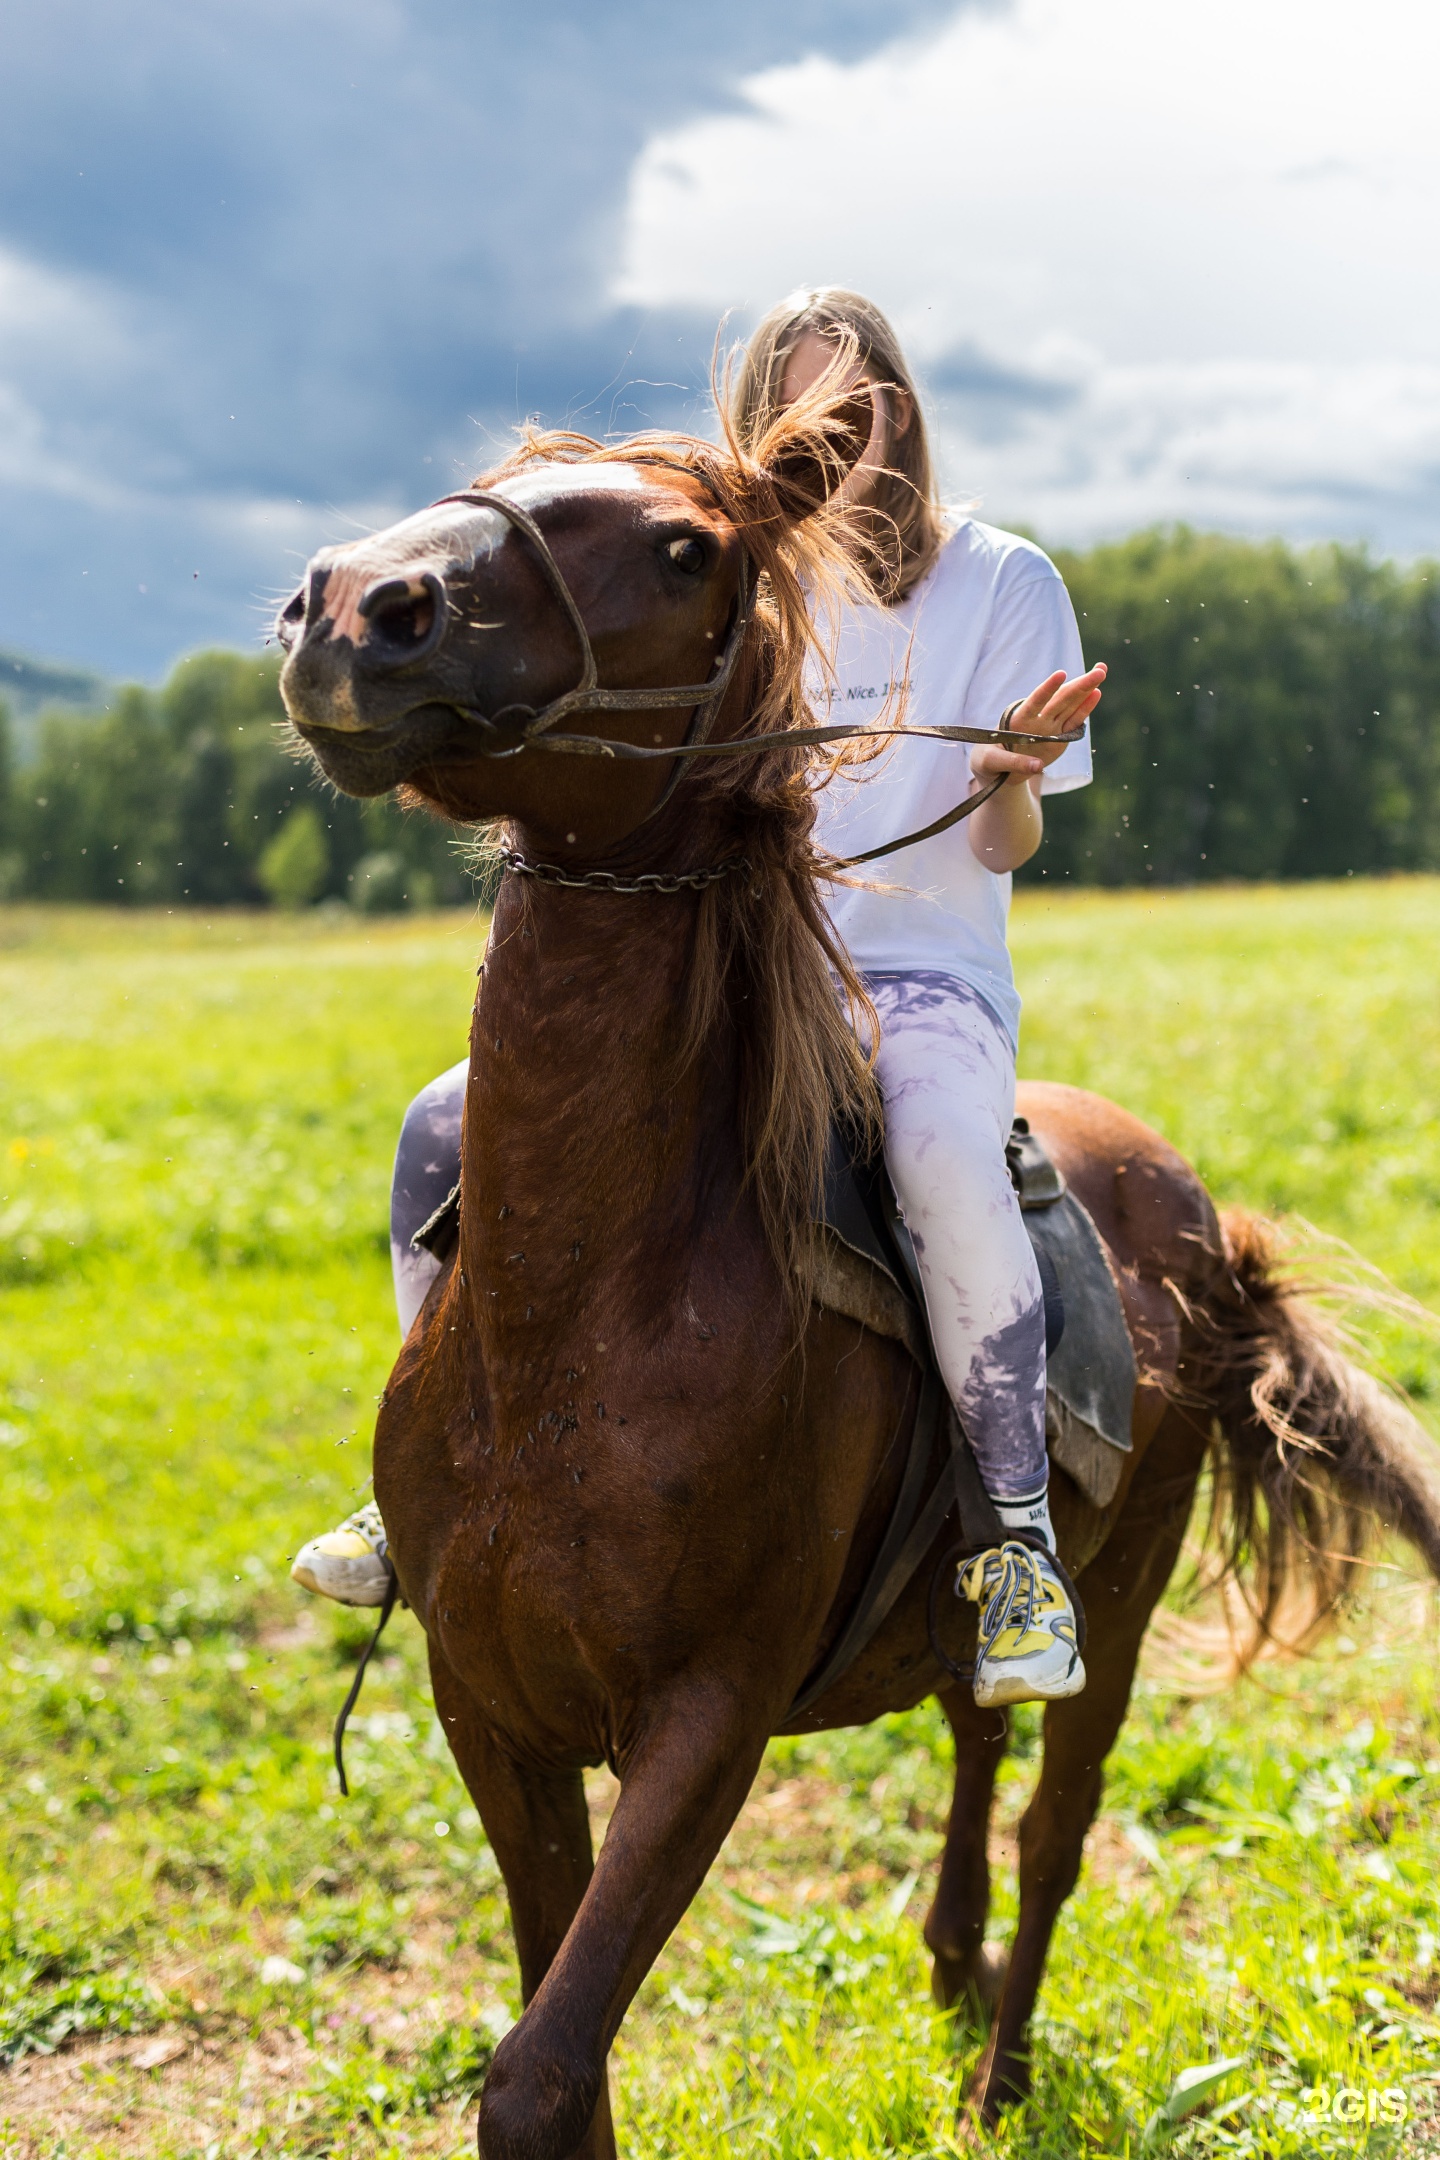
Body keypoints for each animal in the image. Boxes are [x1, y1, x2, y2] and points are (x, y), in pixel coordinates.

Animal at [276, 393, 1440, 2160]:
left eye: (683, 548)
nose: (354, 608)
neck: (581, 1328)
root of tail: (1202, 1227)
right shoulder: (490, 1713)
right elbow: (563, 2056)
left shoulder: (705, 1727)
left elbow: (541, 2075)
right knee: (972, 1739)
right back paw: (954, 1964)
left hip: (1122, 1600)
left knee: (1051, 1826)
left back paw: (998, 2070)